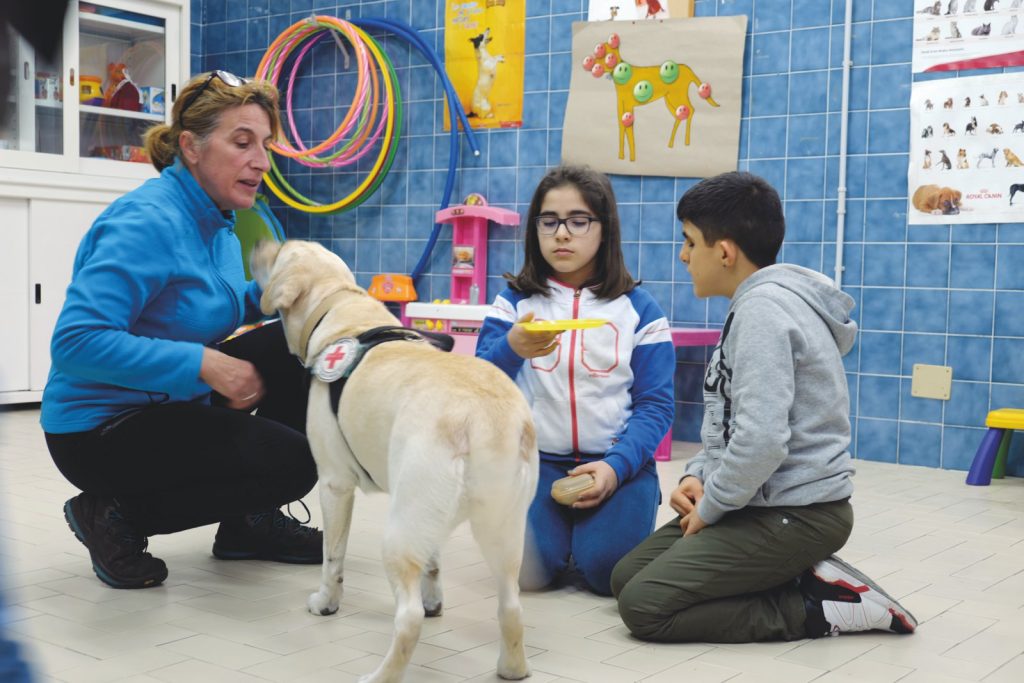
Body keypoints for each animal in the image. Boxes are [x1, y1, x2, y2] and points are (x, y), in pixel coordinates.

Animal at [249, 240, 536, 683]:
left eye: (279, 251)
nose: (259, 243)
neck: (340, 308)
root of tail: (479, 416)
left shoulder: (334, 484)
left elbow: (333, 558)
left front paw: (326, 602)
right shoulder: (430, 522)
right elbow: (433, 564)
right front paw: (436, 600)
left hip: (399, 531)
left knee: (409, 619)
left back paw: (381, 675)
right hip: (500, 528)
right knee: (511, 606)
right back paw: (512, 668)